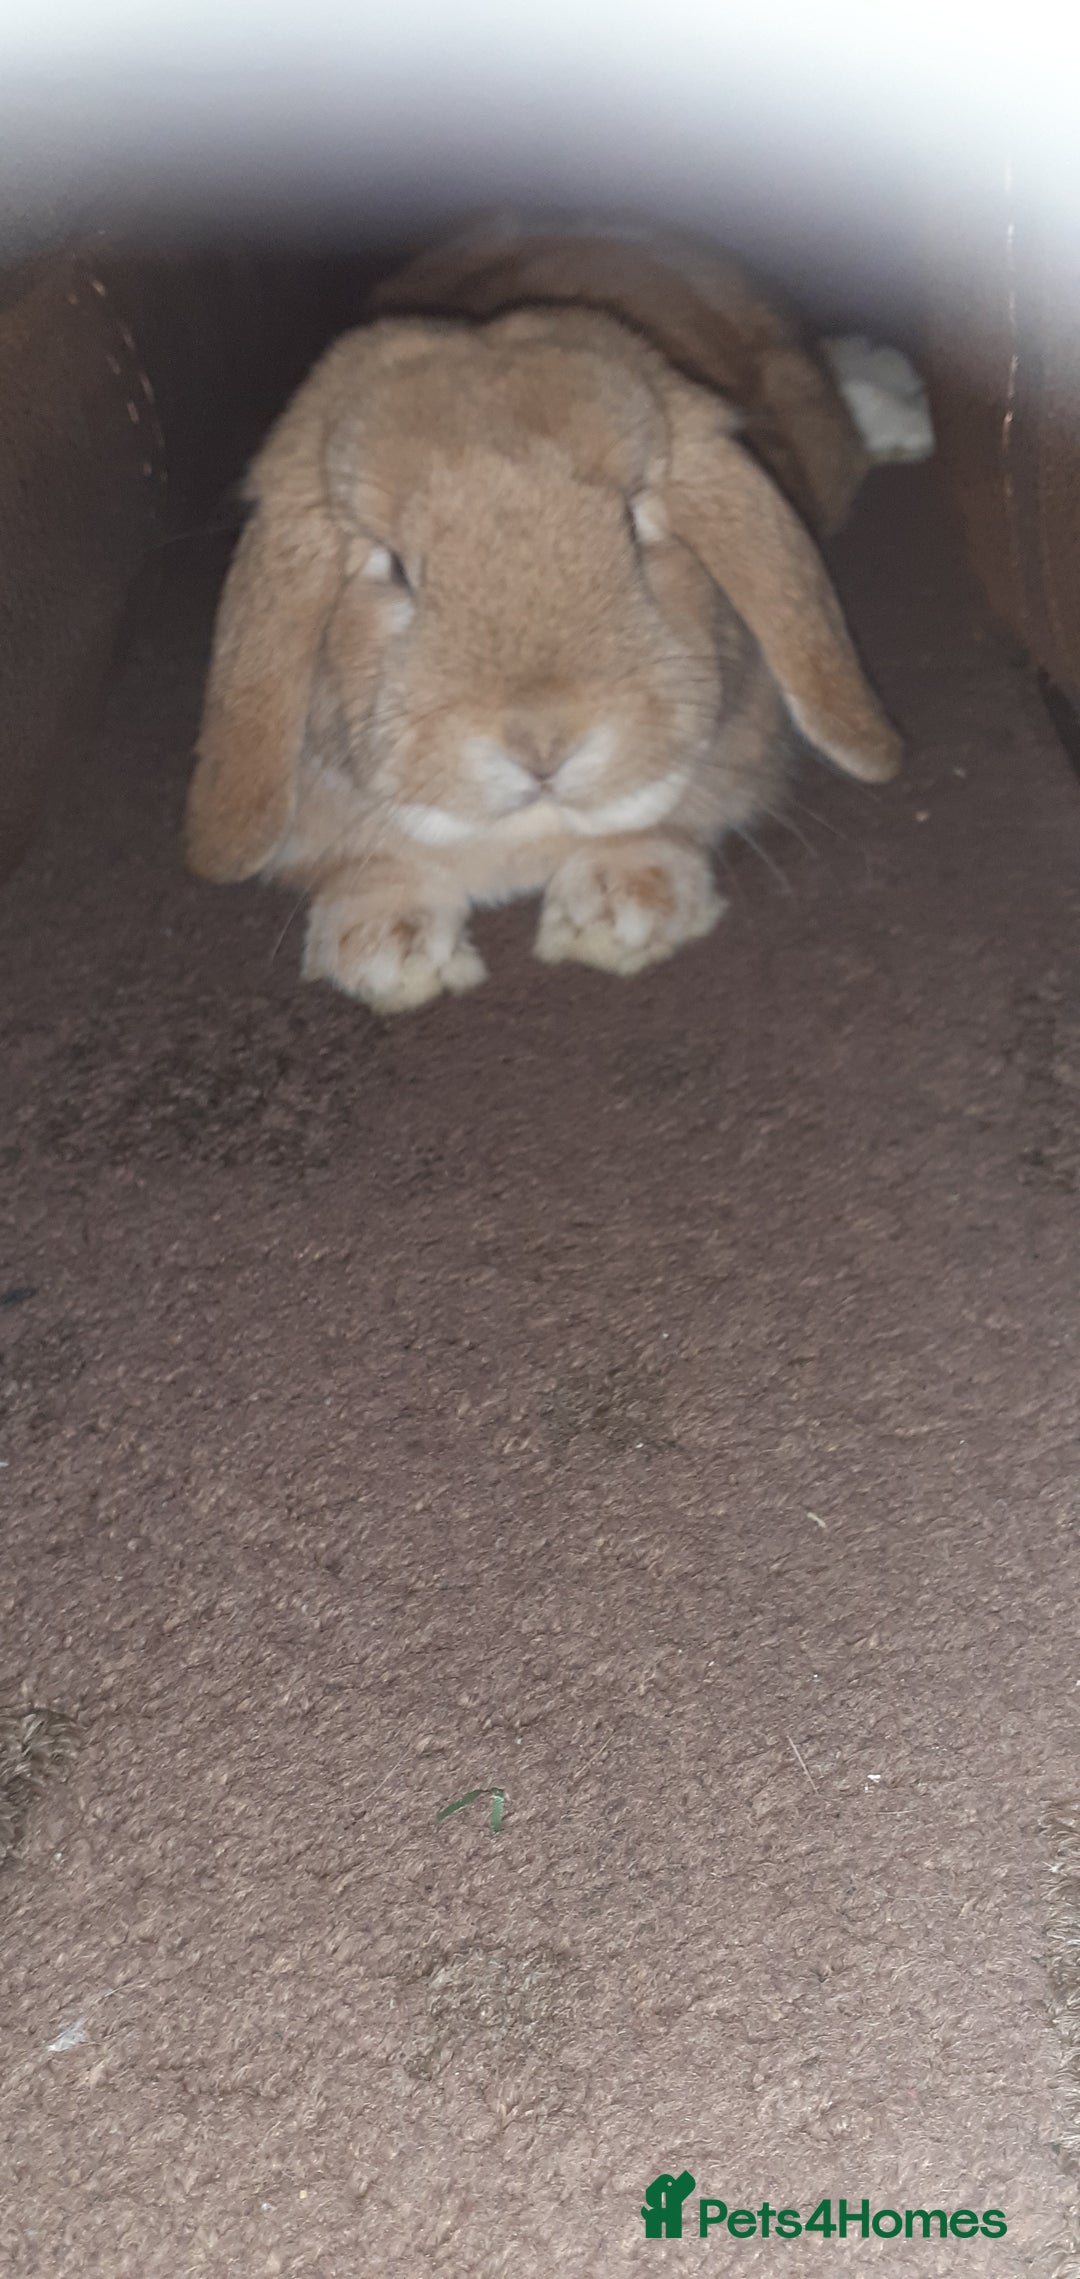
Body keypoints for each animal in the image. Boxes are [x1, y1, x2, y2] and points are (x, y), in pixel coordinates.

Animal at [186, 213, 901, 1016]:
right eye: (392, 567)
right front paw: (384, 948)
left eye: (633, 524)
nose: (542, 739)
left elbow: (664, 819)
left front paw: (624, 905)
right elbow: (370, 867)